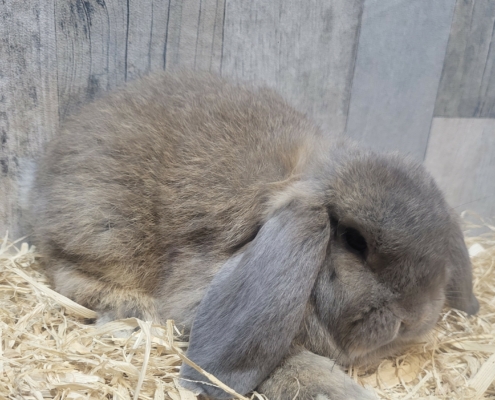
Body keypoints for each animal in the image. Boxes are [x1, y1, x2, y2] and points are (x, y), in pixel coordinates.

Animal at [25, 71, 479, 400]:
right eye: (354, 241)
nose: (415, 316)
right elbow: (294, 367)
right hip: (104, 230)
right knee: (68, 274)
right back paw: (132, 309)